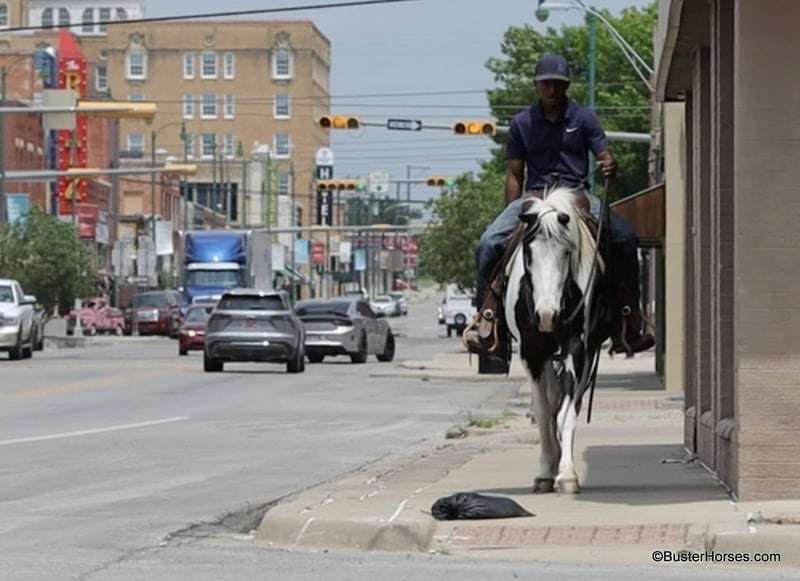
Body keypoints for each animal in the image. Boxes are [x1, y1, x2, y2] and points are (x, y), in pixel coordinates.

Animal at [503, 184, 613, 494]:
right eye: (528, 252)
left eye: (566, 252)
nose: (547, 315)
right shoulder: (531, 352)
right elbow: (543, 413)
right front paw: (544, 472)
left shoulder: (577, 348)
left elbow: (566, 412)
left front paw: (567, 474)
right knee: (550, 403)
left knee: (569, 403)